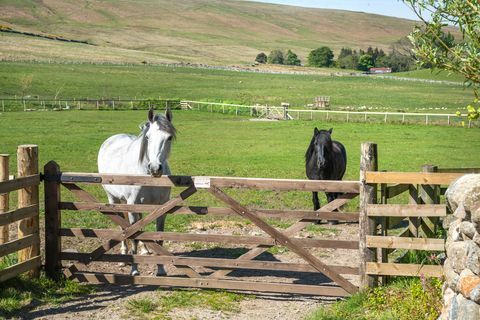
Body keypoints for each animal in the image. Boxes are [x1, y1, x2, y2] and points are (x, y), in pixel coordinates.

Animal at [97, 107, 174, 276]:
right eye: (147, 137)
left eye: (169, 137)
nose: (155, 168)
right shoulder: (132, 205)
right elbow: (133, 237)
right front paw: (134, 270)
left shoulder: (161, 207)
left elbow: (159, 237)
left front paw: (161, 270)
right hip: (114, 199)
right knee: (123, 227)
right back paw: (123, 256)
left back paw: (145, 250)